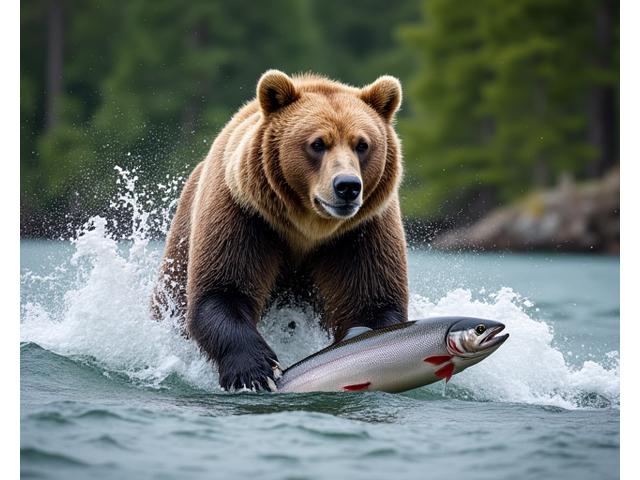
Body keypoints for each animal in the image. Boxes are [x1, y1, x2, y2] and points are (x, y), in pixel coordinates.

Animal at [152, 70, 409, 391]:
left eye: (362, 144)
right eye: (318, 143)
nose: (347, 186)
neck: (307, 228)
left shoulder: (360, 232)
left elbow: (370, 301)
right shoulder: (245, 215)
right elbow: (223, 289)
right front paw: (256, 371)